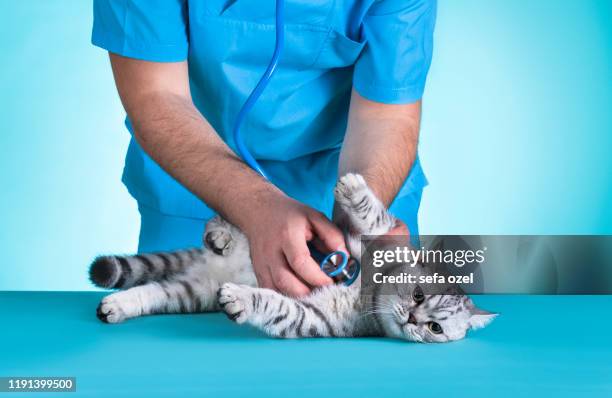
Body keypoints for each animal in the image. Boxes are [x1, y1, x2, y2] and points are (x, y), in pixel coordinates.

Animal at [92, 173, 498, 342]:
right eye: (417, 295)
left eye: (436, 329)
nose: (414, 319)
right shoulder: (369, 241)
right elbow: (374, 218)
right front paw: (354, 189)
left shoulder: (313, 319)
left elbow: (276, 306)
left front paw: (240, 299)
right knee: (229, 220)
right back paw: (220, 233)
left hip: (191, 293)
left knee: (153, 292)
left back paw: (117, 305)